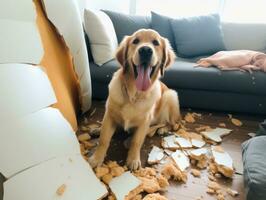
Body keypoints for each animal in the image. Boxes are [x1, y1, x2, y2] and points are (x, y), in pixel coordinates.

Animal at [89, 28, 181, 170]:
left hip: (170, 95)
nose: (145, 50)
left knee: (170, 123)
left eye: (156, 43)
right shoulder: (109, 115)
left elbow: (136, 141)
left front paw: (133, 159)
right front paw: (96, 158)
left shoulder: (144, 122)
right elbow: (104, 139)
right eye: (135, 41)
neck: (134, 94)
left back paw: (161, 129)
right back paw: (97, 130)